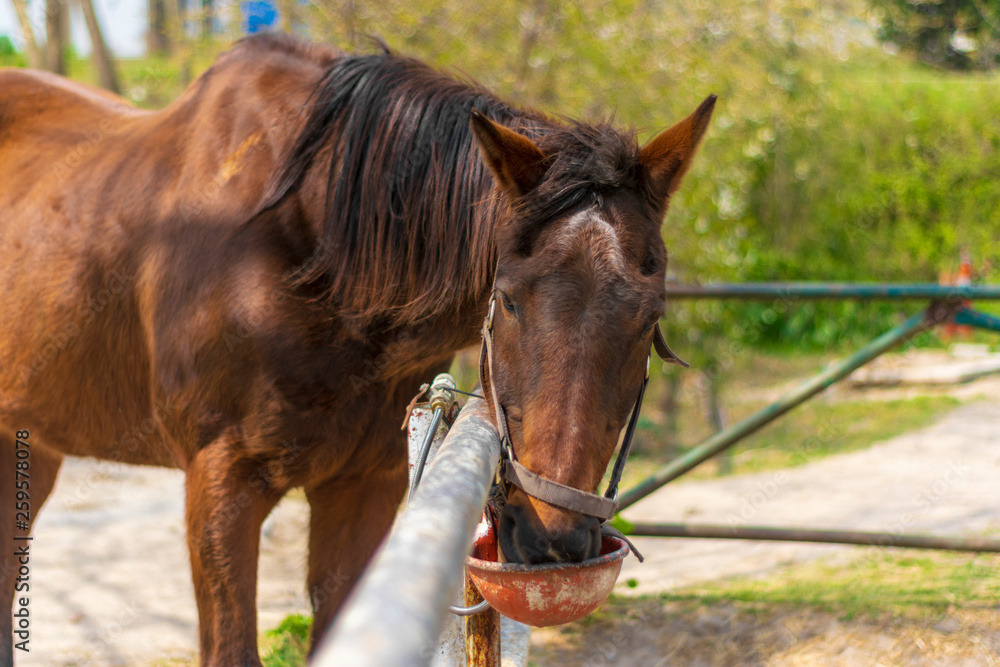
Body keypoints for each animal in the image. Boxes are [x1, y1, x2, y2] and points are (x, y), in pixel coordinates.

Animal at [0, 32, 714, 665]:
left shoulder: (364, 484)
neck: (313, 256)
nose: (552, 539)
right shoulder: (220, 483)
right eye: (508, 299)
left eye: (650, 317)